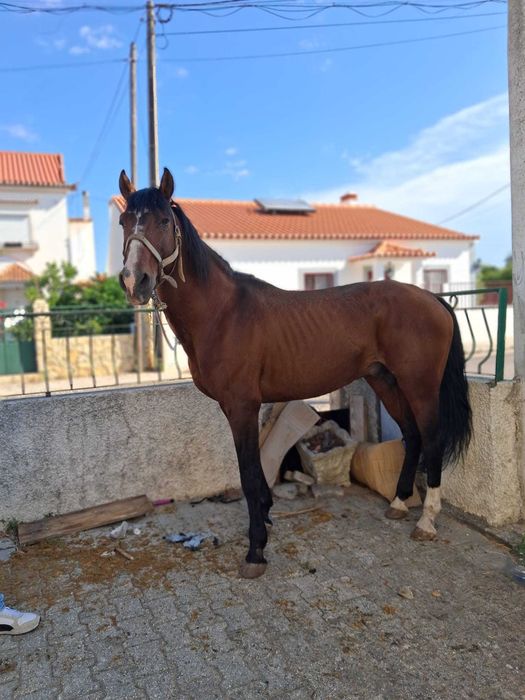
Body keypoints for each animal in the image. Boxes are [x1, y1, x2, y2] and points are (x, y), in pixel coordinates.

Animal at [117, 167, 472, 579]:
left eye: (163, 220)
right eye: (124, 221)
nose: (134, 281)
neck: (223, 313)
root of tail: (432, 298)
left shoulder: (242, 406)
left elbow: (248, 473)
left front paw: (256, 550)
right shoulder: (236, 408)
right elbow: (254, 471)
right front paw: (266, 519)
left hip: (420, 386)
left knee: (432, 438)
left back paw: (427, 520)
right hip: (384, 380)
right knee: (412, 435)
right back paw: (399, 504)